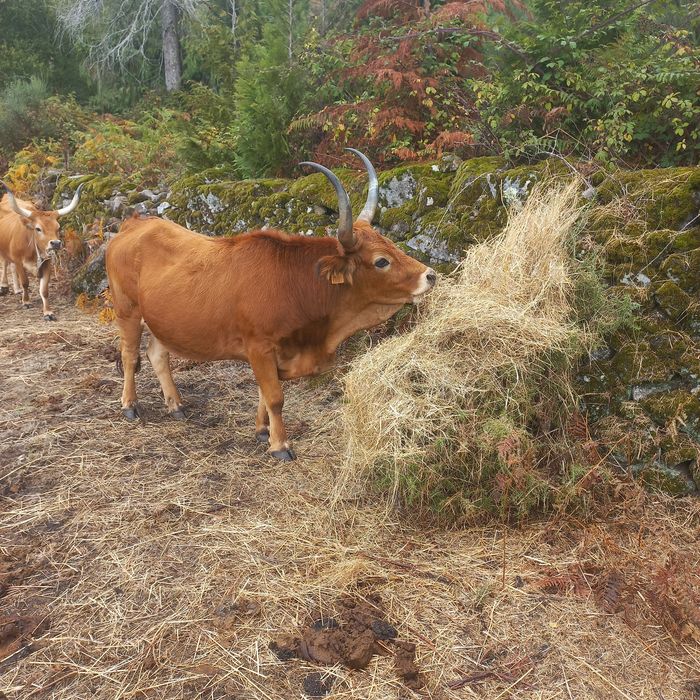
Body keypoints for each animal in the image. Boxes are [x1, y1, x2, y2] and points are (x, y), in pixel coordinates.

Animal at [0, 182, 83, 320]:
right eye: (38, 229)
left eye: (58, 227)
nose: (55, 243)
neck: (33, 252)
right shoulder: (18, 261)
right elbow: (25, 282)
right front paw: (26, 301)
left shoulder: (47, 263)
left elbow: (44, 290)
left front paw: (48, 312)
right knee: (5, 263)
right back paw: (4, 286)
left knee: (10, 265)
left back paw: (17, 289)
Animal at [106, 149, 436, 460]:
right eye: (381, 261)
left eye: (392, 244)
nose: (430, 275)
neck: (295, 285)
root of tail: (134, 223)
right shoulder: (259, 347)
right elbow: (275, 396)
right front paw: (280, 445)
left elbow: (265, 394)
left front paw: (262, 430)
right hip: (127, 310)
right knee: (129, 355)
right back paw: (129, 405)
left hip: (163, 321)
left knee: (157, 354)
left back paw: (175, 405)